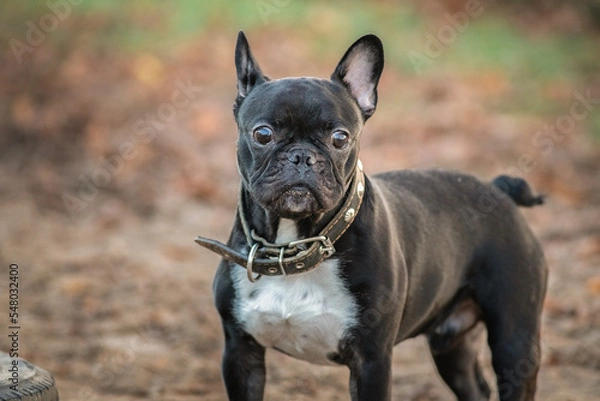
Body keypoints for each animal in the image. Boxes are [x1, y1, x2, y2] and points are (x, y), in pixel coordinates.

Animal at [197, 32, 548, 400]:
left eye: (340, 138)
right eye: (263, 134)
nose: (302, 156)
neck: (296, 244)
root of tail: (498, 190)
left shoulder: (372, 361)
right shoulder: (241, 351)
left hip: (515, 340)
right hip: (451, 344)